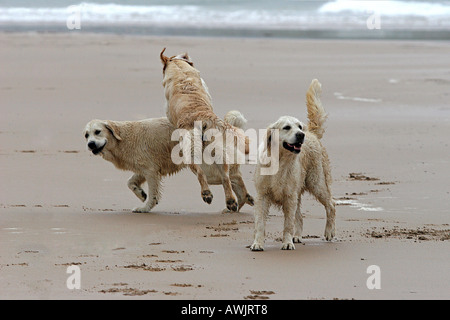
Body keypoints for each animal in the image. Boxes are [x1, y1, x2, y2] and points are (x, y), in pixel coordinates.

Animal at [83, 111, 253, 214]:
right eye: (86, 135)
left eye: (97, 132)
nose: (90, 144)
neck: (123, 138)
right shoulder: (144, 169)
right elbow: (130, 182)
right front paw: (141, 194)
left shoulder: (151, 171)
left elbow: (153, 193)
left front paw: (145, 207)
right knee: (236, 179)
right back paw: (241, 202)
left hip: (209, 169)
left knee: (226, 179)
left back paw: (226, 201)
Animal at [161, 48, 248, 212]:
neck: (181, 70)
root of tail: (202, 118)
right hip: (219, 152)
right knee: (225, 177)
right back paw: (231, 201)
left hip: (189, 151)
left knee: (200, 173)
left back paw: (207, 194)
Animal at [251, 79, 336, 251]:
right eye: (286, 127)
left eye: (299, 126)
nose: (301, 135)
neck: (280, 161)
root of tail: (311, 133)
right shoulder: (262, 196)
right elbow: (260, 224)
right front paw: (257, 243)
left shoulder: (289, 197)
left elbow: (288, 224)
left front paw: (287, 242)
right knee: (300, 216)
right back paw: (297, 236)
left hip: (317, 183)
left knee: (331, 205)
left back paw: (329, 232)